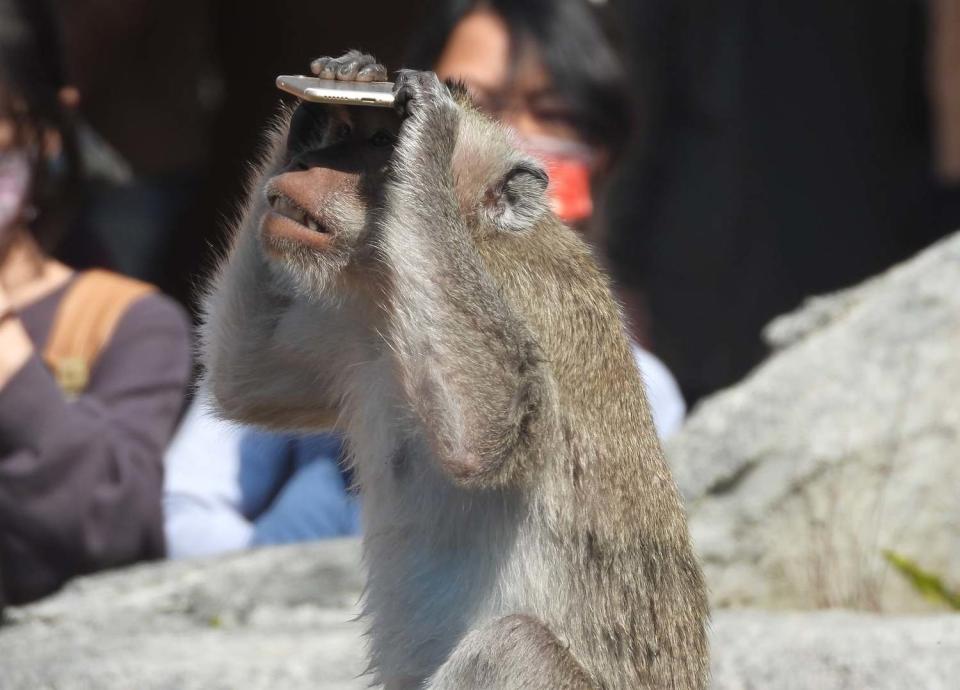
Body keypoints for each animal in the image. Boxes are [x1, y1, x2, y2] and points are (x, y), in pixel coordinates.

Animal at [202, 51, 708, 684]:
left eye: (381, 143)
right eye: (344, 133)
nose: (307, 162)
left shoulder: (523, 296)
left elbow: (489, 430)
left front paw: (428, 138)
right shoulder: (353, 321)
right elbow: (244, 376)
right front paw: (322, 99)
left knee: (516, 645)